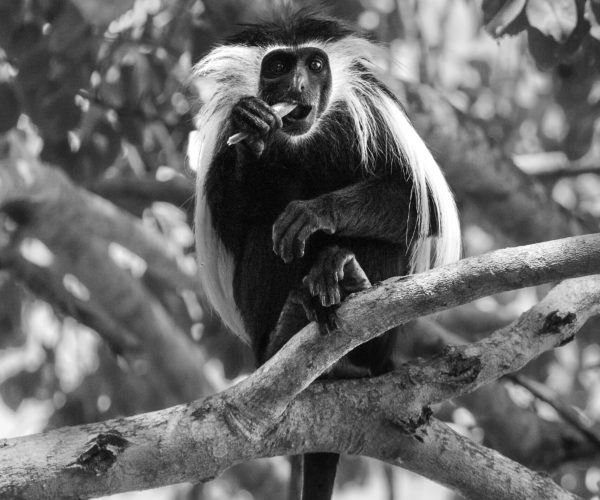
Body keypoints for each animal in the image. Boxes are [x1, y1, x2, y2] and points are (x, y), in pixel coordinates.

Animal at [190, 10, 462, 500]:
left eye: (315, 65)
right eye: (278, 66)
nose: (297, 86)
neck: (305, 139)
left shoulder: (375, 113)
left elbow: (419, 207)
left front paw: (315, 214)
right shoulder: (224, 135)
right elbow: (234, 221)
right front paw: (255, 132)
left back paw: (344, 277)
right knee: (263, 234)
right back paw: (288, 328)